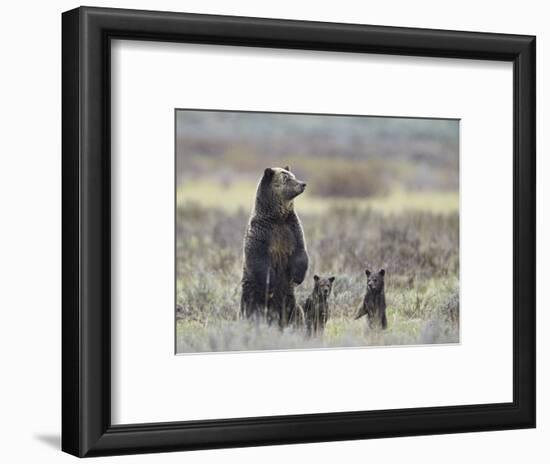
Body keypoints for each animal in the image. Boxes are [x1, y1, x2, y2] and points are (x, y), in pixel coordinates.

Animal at [242, 166, 310, 326]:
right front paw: (270, 284)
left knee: (295, 312)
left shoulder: (292, 229)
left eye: (293, 175)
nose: (302, 184)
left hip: (289, 299)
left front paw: (297, 278)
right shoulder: (262, 233)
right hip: (251, 294)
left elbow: (300, 252)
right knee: (251, 309)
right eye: (286, 178)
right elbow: (258, 258)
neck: (278, 217)